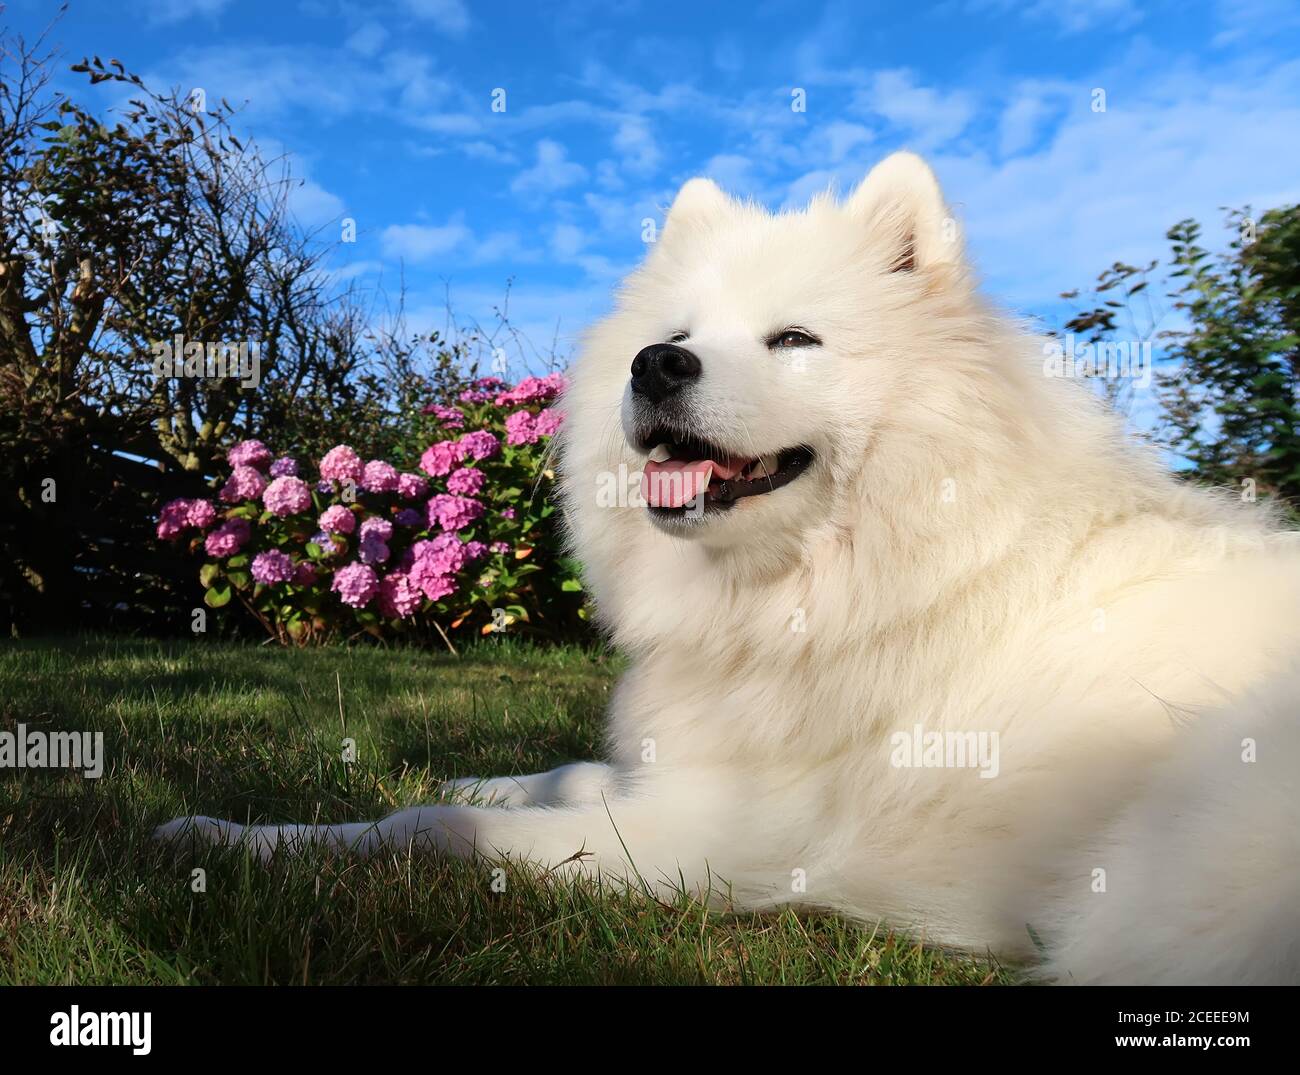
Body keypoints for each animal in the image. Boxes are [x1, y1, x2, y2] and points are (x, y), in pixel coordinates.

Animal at [162, 155, 1300, 987]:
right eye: (673, 335)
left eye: (794, 338)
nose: (655, 366)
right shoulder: (677, 771)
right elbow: (565, 770)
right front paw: (473, 771)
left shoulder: (711, 837)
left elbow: (429, 829)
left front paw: (235, 837)